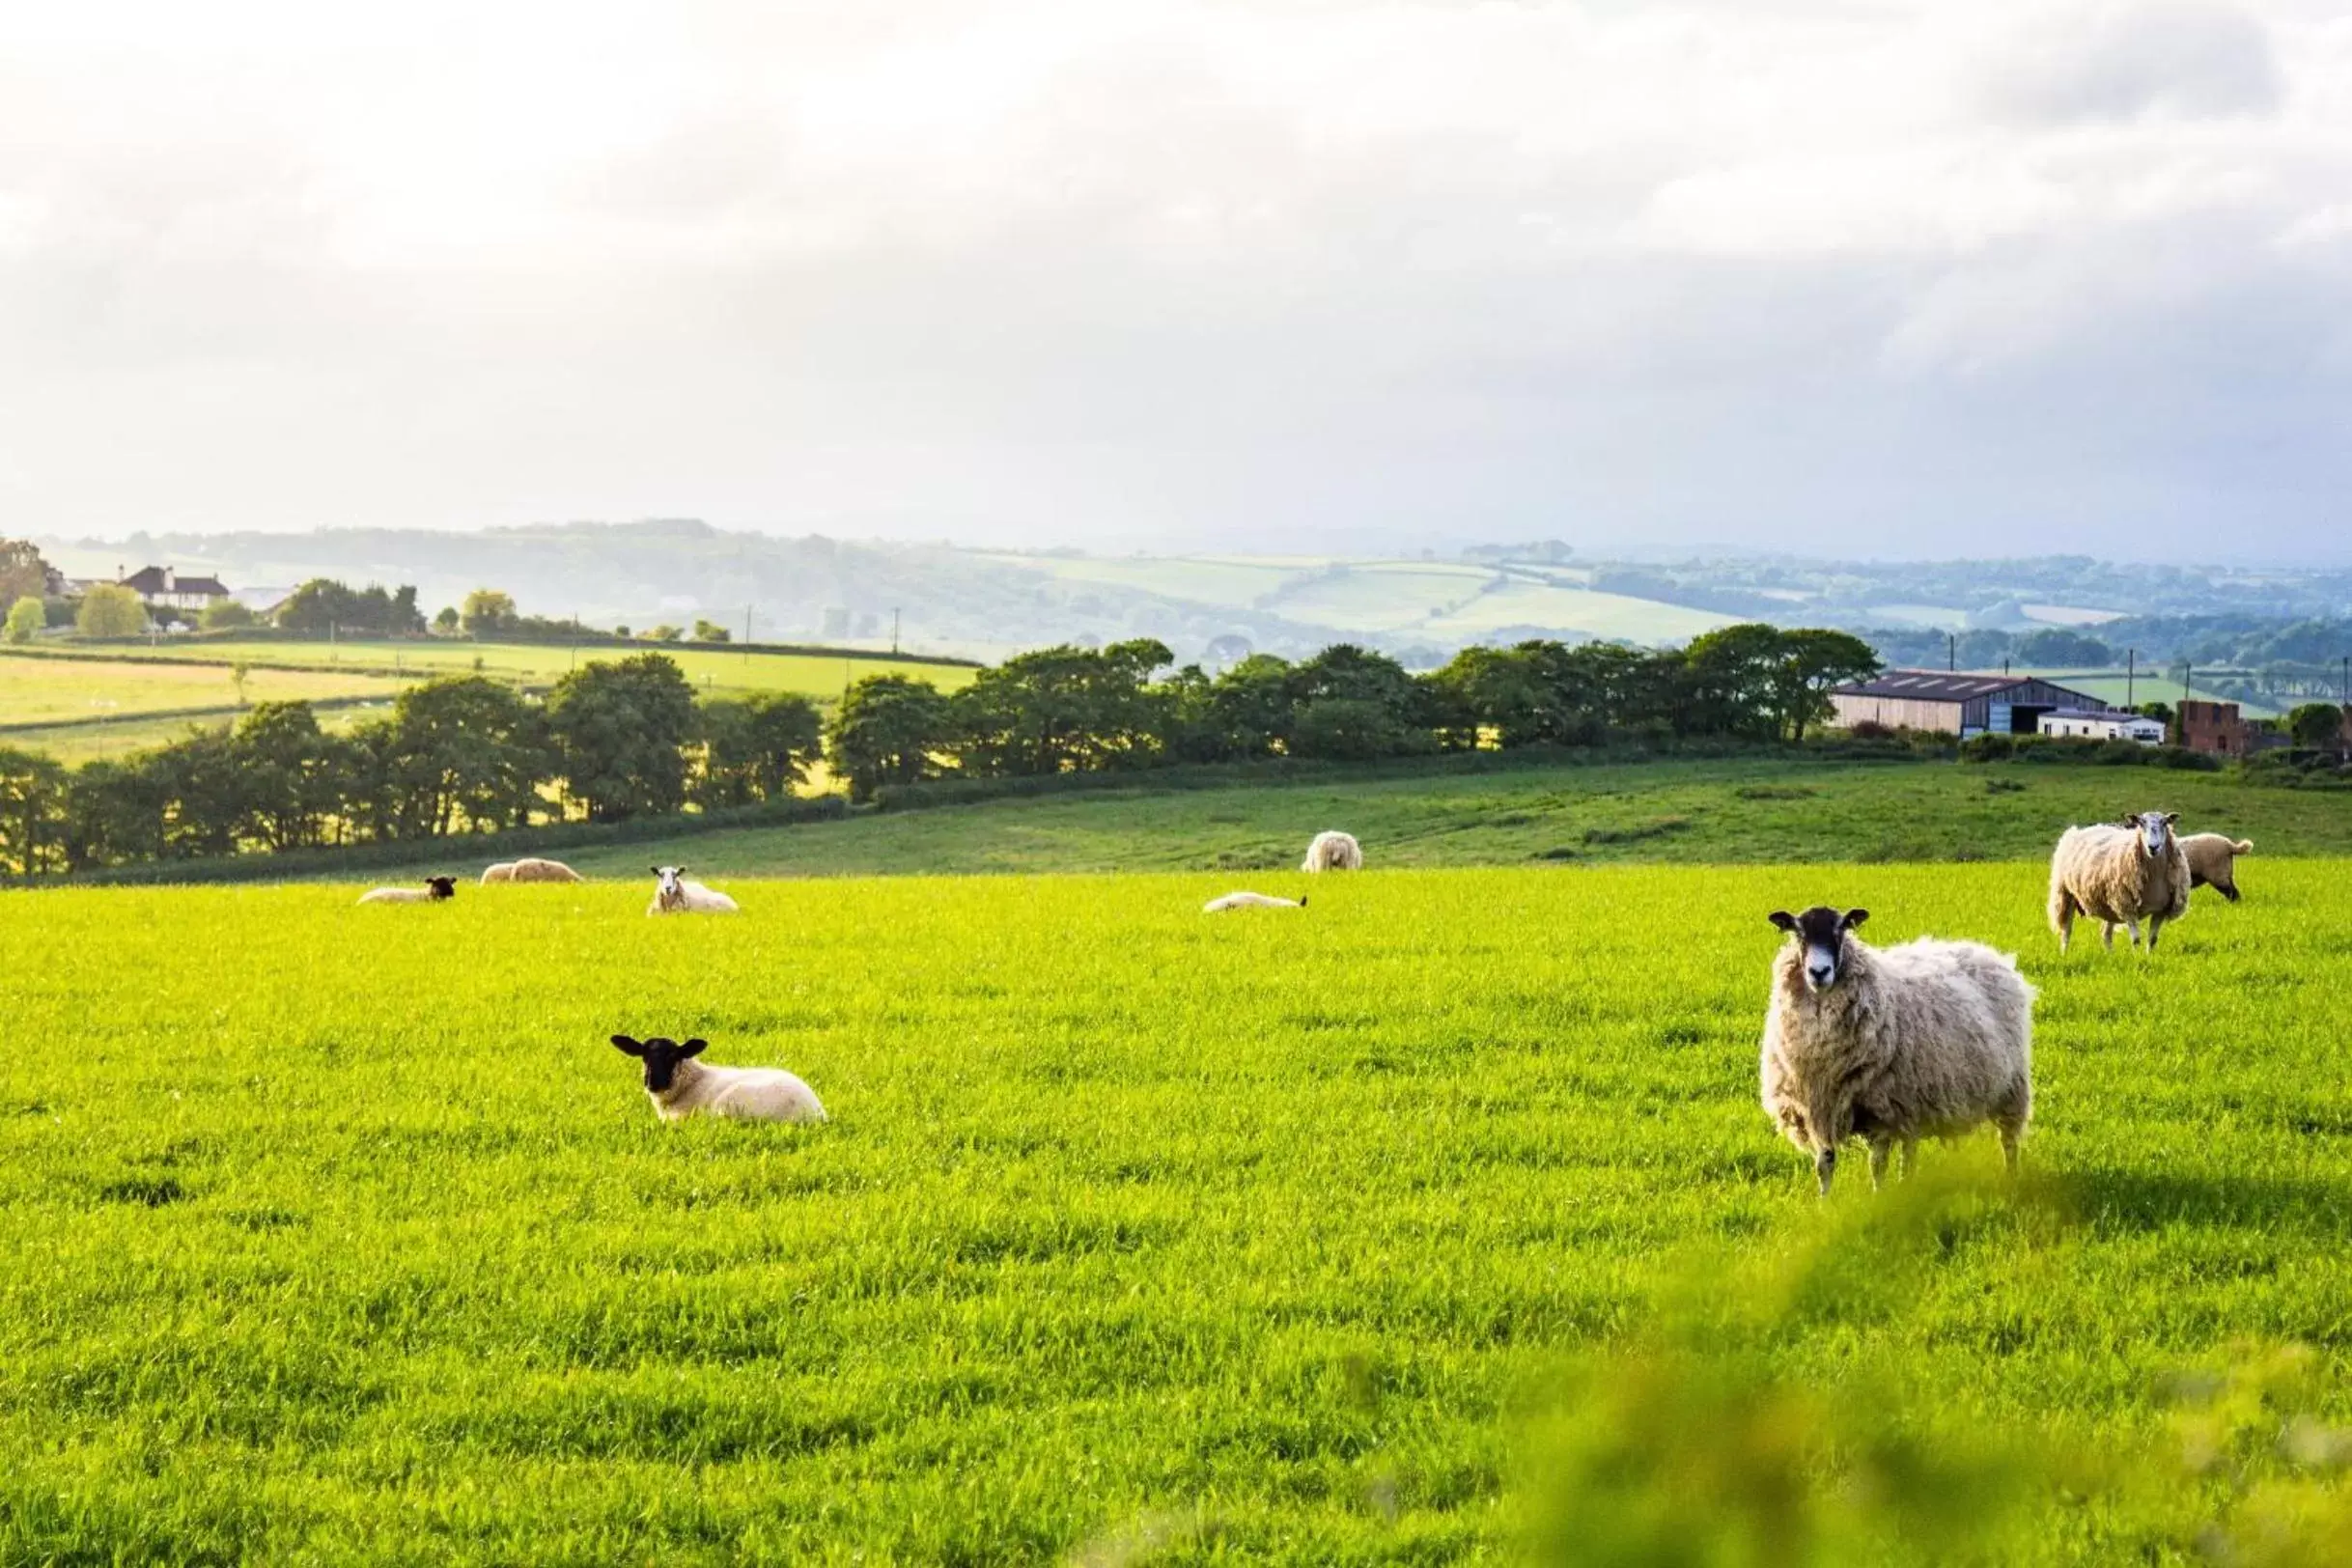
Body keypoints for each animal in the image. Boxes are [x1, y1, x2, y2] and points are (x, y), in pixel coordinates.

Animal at [1759, 902, 2031, 1193]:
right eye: (1798, 933)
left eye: (1841, 929)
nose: (1819, 972)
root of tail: (1987, 952)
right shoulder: (1818, 1107)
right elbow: (1825, 1165)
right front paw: (1825, 1201)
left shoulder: (1880, 1108)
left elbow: (1877, 1166)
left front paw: (1879, 1198)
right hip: (1914, 1098)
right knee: (1909, 1151)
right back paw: (1906, 1185)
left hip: (2011, 1087)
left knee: (2009, 1139)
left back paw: (2012, 1178)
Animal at [2051, 818, 2192, 949]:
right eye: (2141, 825)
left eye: (2165, 824)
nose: (2153, 847)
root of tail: (2079, 830)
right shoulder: (2127, 907)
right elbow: (2136, 940)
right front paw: (2137, 957)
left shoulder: (2161, 910)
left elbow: (2152, 940)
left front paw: (2149, 956)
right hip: (2065, 894)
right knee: (2066, 931)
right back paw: (2064, 953)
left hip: (2110, 905)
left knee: (2106, 935)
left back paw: (2110, 955)